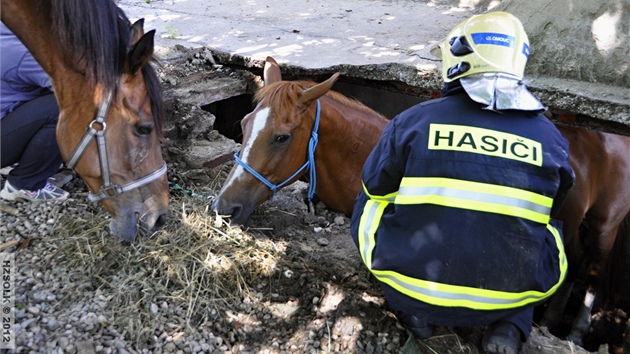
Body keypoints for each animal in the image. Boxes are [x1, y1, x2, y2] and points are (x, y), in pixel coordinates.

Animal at [212, 56, 630, 348]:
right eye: (245, 123)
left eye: (282, 137)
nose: (224, 207)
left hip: (605, 225)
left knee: (592, 268)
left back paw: (573, 332)